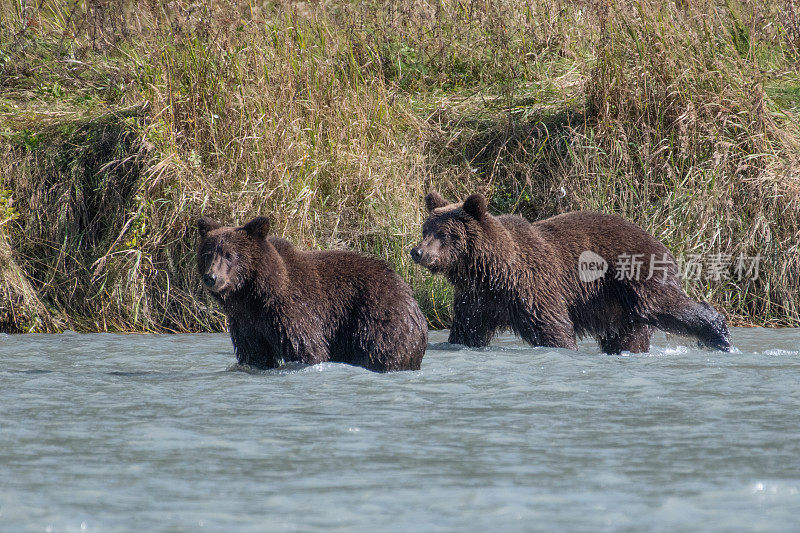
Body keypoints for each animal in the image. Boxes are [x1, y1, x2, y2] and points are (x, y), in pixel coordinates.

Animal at [196, 215, 428, 370]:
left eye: (229, 254)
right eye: (207, 254)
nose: (211, 277)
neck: (252, 296)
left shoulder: (292, 311)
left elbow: (307, 348)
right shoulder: (246, 323)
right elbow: (254, 354)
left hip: (378, 318)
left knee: (381, 350)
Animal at [412, 192, 732, 354]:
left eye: (443, 234)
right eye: (426, 229)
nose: (418, 251)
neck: (489, 271)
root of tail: (659, 241)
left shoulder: (532, 286)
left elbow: (552, 327)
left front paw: (564, 347)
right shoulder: (477, 300)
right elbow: (466, 332)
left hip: (636, 277)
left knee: (663, 305)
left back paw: (719, 334)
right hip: (617, 306)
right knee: (628, 335)